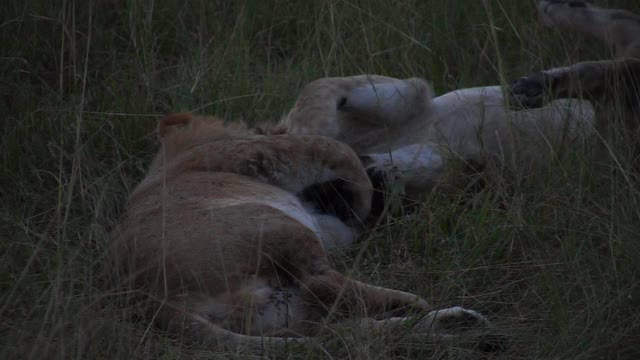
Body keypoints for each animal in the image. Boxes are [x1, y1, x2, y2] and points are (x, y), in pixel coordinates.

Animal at [112, 112, 498, 352]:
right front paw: (366, 189)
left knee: (341, 325)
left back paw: (460, 324)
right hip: (274, 226)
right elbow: (339, 150)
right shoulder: (264, 152)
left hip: (286, 311)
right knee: (326, 285)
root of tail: (157, 301)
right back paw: (417, 303)